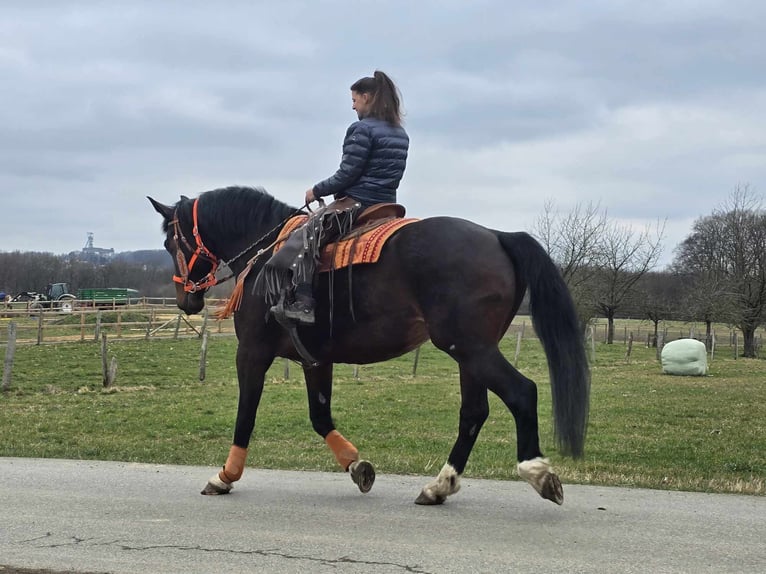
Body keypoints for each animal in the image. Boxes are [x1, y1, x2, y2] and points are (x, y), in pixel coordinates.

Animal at [152, 187, 592, 506]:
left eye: (171, 242)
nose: (185, 300)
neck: (266, 259)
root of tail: (498, 236)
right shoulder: (316, 361)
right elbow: (320, 416)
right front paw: (356, 466)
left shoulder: (253, 354)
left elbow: (246, 415)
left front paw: (225, 476)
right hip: (472, 352)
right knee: (473, 413)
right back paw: (440, 486)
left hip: (470, 347)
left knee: (522, 392)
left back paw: (537, 472)